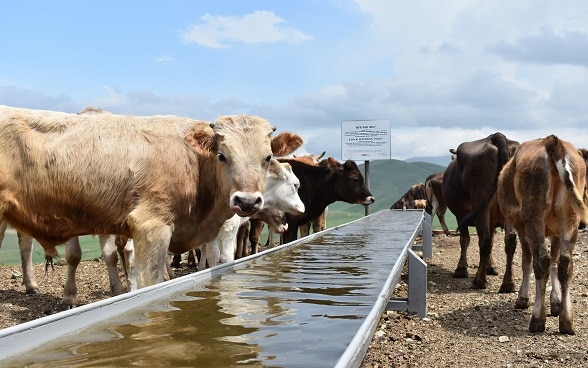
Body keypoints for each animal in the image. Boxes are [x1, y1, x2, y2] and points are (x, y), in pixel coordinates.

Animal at [440, 132, 520, 290]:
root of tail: (495, 136)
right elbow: (493, 240)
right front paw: (491, 267)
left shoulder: (461, 215)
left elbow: (465, 240)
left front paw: (461, 269)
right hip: (508, 208)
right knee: (509, 240)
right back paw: (508, 284)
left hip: (481, 206)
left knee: (485, 239)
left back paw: (479, 281)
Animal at [496, 134, 588, 334]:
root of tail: (552, 141)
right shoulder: (556, 232)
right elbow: (555, 262)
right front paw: (556, 303)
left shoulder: (521, 227)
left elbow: (527, 261)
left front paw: (522, 299)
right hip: (570, 216)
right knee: (565, 264)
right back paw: (566, 321)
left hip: (533, 213)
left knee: (541, 261)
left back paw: (537, 319)